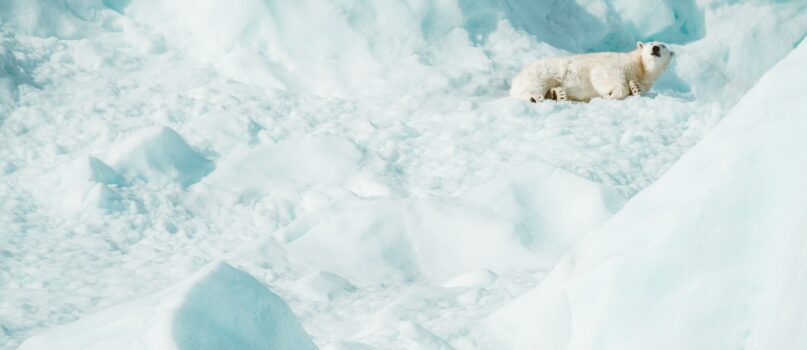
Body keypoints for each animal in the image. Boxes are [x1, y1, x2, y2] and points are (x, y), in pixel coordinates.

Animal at [512, 41, 676, 102]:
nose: (655, 48)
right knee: (535, 85)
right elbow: (604, 73)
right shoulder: (618, 63)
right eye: (650, 43)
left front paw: (635, 88)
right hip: (543, 71)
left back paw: (558, 94)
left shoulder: (644, 80)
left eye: (663, 46)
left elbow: (638, 87)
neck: (640, 67)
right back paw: (535, 97)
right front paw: (612, 93)